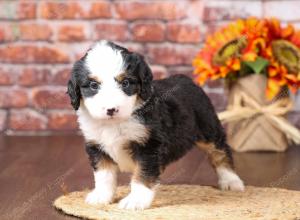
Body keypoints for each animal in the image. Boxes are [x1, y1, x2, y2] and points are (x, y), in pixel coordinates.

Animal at [67, 40, 244, 211]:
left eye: (126, 83)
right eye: (93, 85)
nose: (111, 109)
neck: (115, 123)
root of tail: (186, 79)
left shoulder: (148, 145)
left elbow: (142, 174)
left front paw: (136, 200)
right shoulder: (96, 146)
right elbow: (104, 175)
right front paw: (101, 196)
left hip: (207, 128)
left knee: (220, 151)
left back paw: (231, 181)